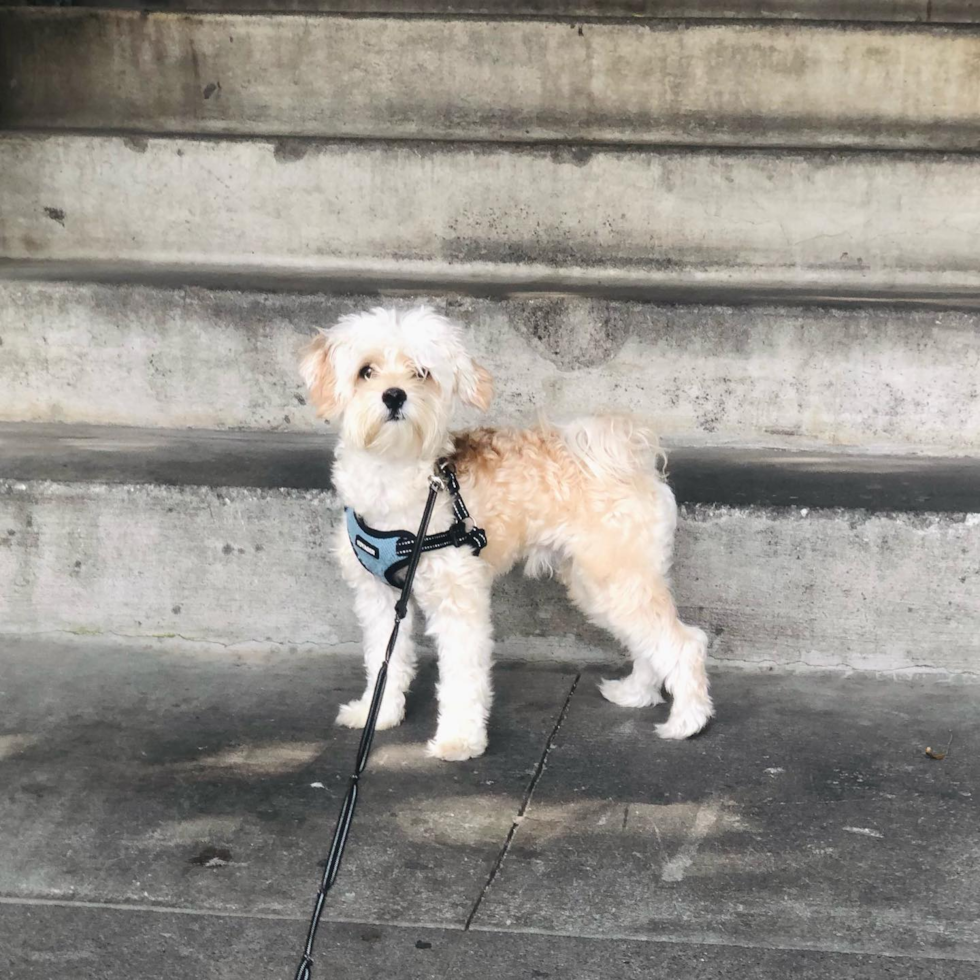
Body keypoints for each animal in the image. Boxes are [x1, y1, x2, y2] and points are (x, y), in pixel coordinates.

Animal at [298, 302, 712, 760]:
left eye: (421, 373)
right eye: (365, 371)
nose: (394, 395)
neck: (396, 477)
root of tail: (627, 457)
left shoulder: (458, 600)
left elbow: (462, 677)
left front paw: (459, 740)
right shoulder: (379, 598)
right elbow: (384, 658)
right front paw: (379, 714)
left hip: (618, 578)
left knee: (684, 642)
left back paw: (687, 721)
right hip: (599, 584)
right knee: (649, 642)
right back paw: (636, 693)